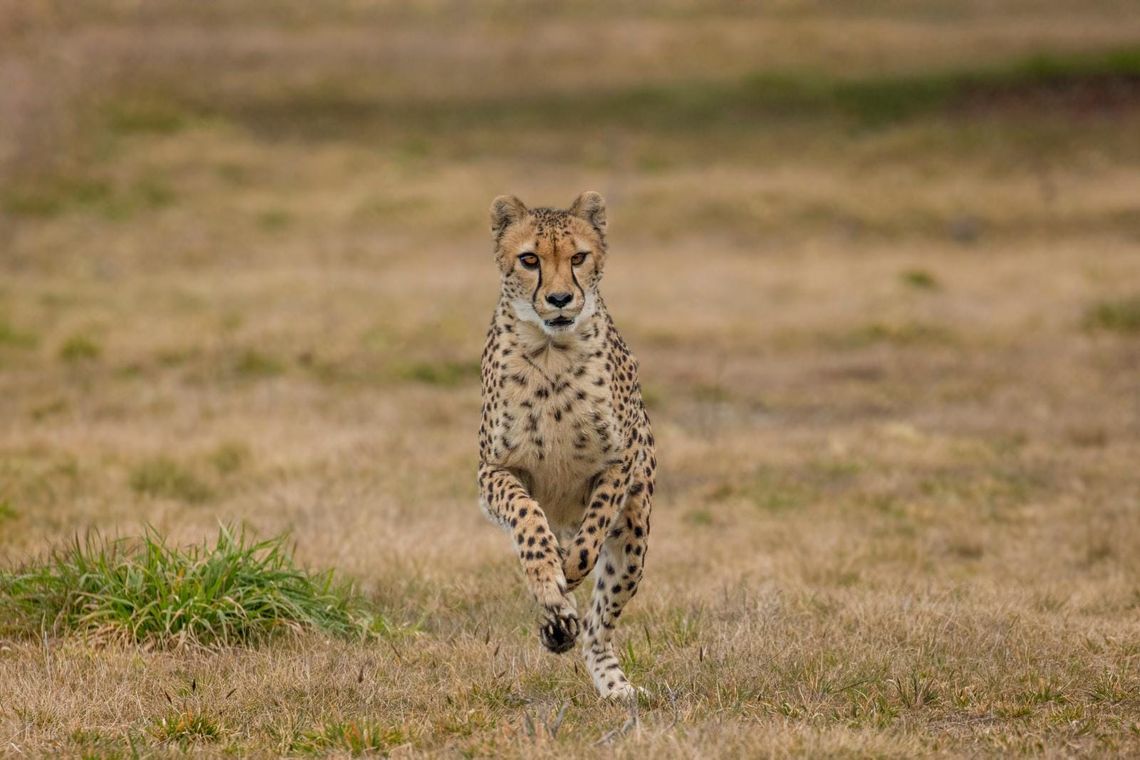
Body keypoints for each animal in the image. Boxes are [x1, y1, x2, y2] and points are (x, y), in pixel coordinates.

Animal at [477, 191, 656, 702]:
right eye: (529, 260)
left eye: (578, 257)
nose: (559, 299)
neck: (551, 350)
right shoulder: (494, 471)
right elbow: (525, 516)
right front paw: (547, 578)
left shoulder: (619, 465)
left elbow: (589, 539)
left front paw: (568, 571)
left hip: (635, 537)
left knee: (599, 626)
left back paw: (612, 683)